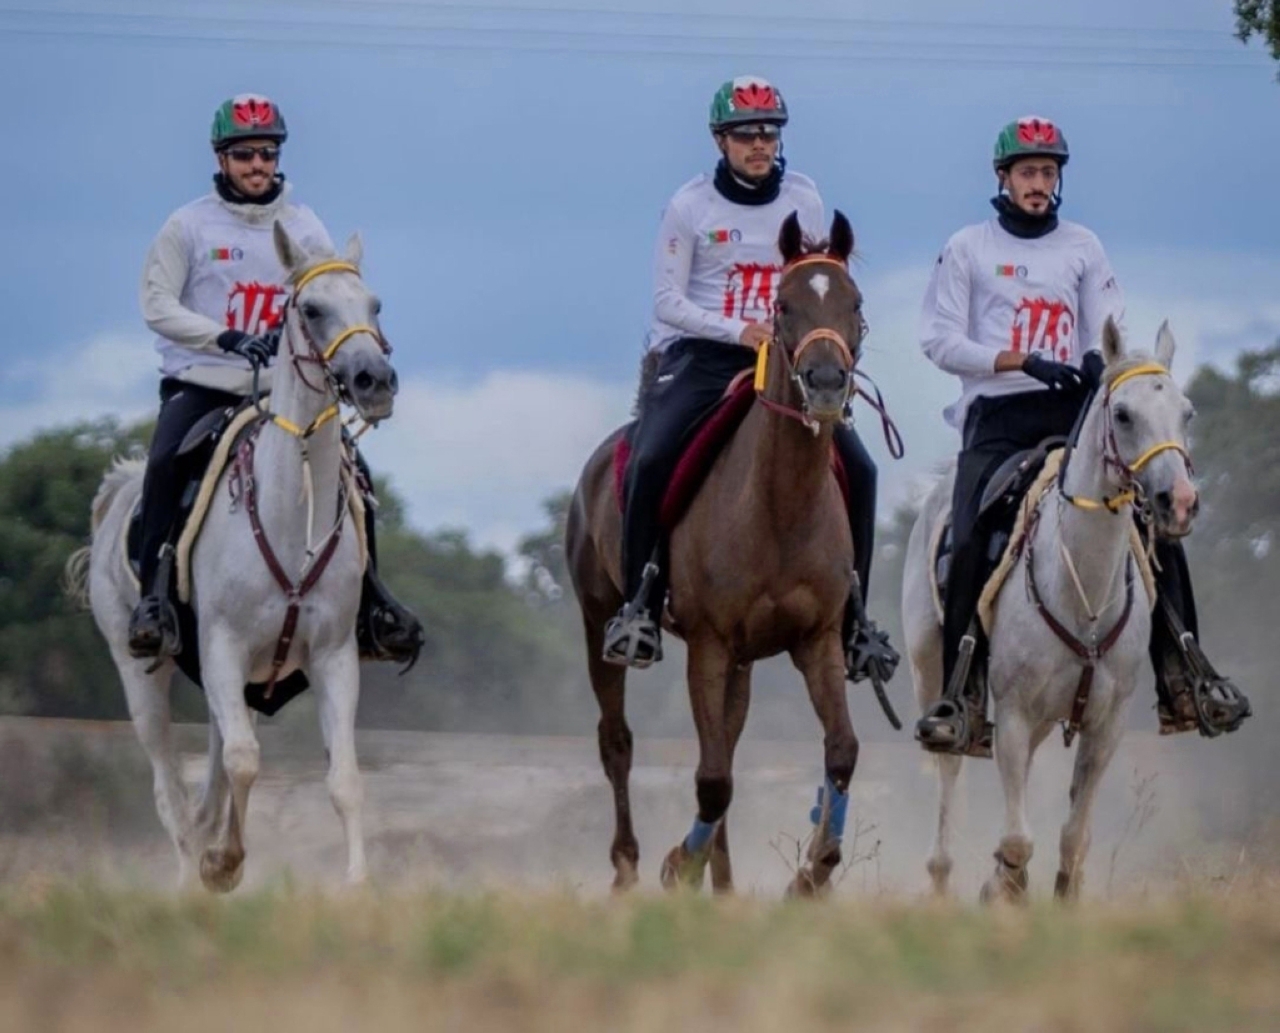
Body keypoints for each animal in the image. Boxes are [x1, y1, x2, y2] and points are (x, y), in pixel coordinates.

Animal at [63, 222, 394, 890]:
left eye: (374, 306)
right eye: (311, 309)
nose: (375, 381)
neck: (292, 512)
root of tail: (119, 493)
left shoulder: (332, 656)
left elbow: (343, 778)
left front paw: (355, 884)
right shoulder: (222, 645)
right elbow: (244, 761)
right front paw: (222, 863)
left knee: (212, 764)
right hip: (141, 669)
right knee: (169, 783)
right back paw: (189, 871)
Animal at [568, 212, 875, 896]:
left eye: (855, 304)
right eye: (783, 305)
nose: (825, 384)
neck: (780, 505)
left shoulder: (816, 640)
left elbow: (840, 751)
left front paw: (813, 873)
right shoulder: (707, 644)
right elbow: (710, 779)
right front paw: (678, 866)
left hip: (743, 659)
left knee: (726, 746)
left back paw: (727, 884)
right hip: (598, 619)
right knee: (617, 740)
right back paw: (629, 867)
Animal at [901, 318, 1198, 901]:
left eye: (1186, 412)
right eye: (1123, 414)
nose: (1178, 501)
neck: (1082, 590)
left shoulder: (1106, 726)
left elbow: (1073, 836)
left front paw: (1058, 896)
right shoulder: (1014, 715)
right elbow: (1018, 839)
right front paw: (1002, 890)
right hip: (929, 669)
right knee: (947, 766)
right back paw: (941, 878)